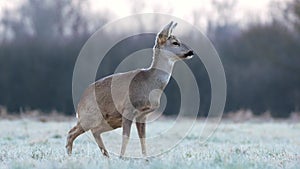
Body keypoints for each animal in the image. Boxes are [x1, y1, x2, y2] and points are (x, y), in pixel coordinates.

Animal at [65, 21, 195, 158]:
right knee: (72, 132)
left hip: (110, 121)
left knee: (94, 131)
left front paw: (145, 158)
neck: (150, 85)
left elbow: (142, 138)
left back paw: (106, 156)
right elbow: (126, 137)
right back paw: (71, 156)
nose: (191, 51)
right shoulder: (127, 109)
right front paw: (122, 157)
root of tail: (79, 103)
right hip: (91, 116)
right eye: (175, 42)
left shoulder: (142, 115)